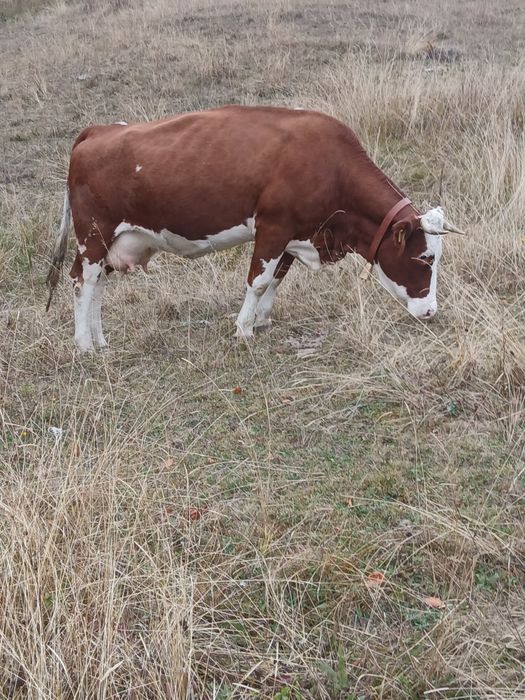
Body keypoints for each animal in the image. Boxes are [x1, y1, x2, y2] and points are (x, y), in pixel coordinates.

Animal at [46, 105, 464, 351]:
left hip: (114, 242)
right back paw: (84, 344)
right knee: (82, 282)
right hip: (93, 235)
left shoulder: (295, 234)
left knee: (98, 285)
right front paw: (244, 328)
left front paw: (262, 320)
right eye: (425, 257)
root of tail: (98, 130)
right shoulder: (273, 227)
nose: (430, 311)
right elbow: (258, 280)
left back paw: (100, 340)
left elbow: (277, 277)